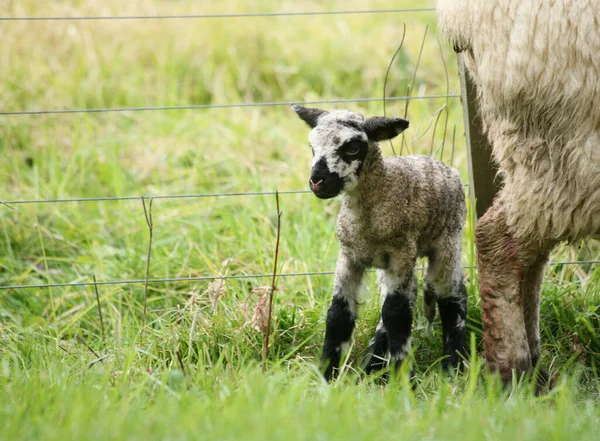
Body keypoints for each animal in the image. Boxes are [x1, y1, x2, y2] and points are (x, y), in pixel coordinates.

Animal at [292, 105, 472, 380]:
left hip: (447, 241)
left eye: (353, 148)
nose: (317, 182)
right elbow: (338, 314)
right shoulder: (349, 256)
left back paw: (454, 364)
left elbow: (396, 313)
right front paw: (326, 375)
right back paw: (371, 365)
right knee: (409, 294)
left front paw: (402, 378)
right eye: (312, 147)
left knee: (452, 294)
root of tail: (440, 164)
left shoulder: (400, 252)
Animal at [436, 0, 600, 390]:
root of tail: (460, 16)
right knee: (498, 239)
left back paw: (534, 368)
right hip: (563, 141)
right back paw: (512, 371)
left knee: (530, 253)